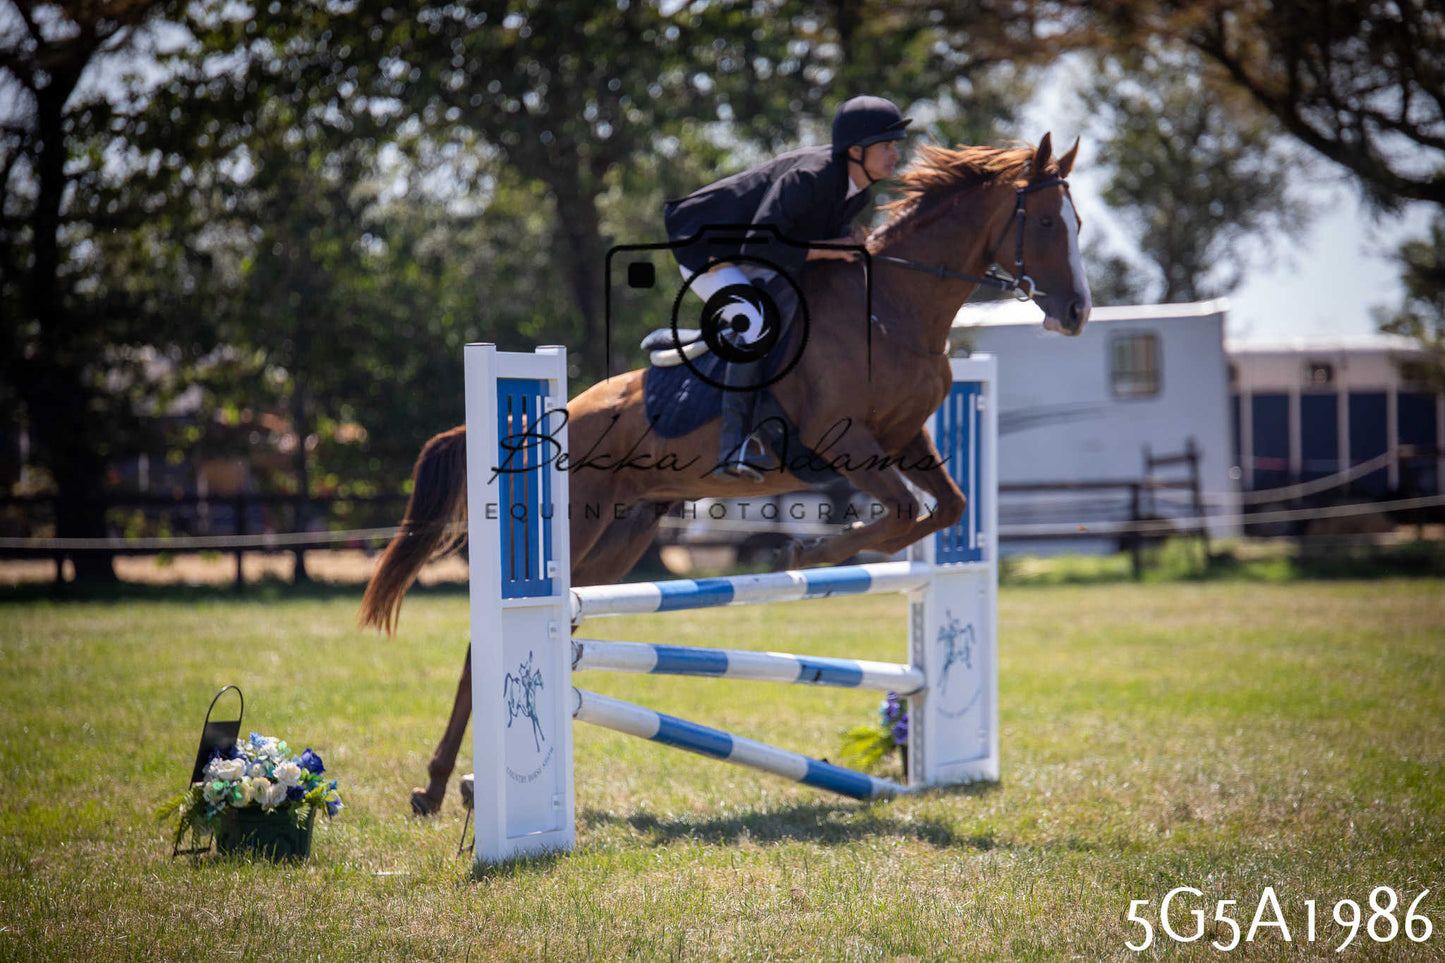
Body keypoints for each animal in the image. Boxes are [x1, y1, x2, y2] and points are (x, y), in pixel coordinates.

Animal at [360, 133, 1092, 815]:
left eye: (1077, 223)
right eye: (1046, 222)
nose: (1077, 313)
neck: (894, 311)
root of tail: (548, 418)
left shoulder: (905, 438)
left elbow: (949, 507)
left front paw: (815, 552)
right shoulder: (845, 440)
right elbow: (905, 512)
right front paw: (808, 553)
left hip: (619, 537)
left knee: (554, 625)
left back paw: (463, 787)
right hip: (575, 522)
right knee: (489, 641)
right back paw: (436, 786)